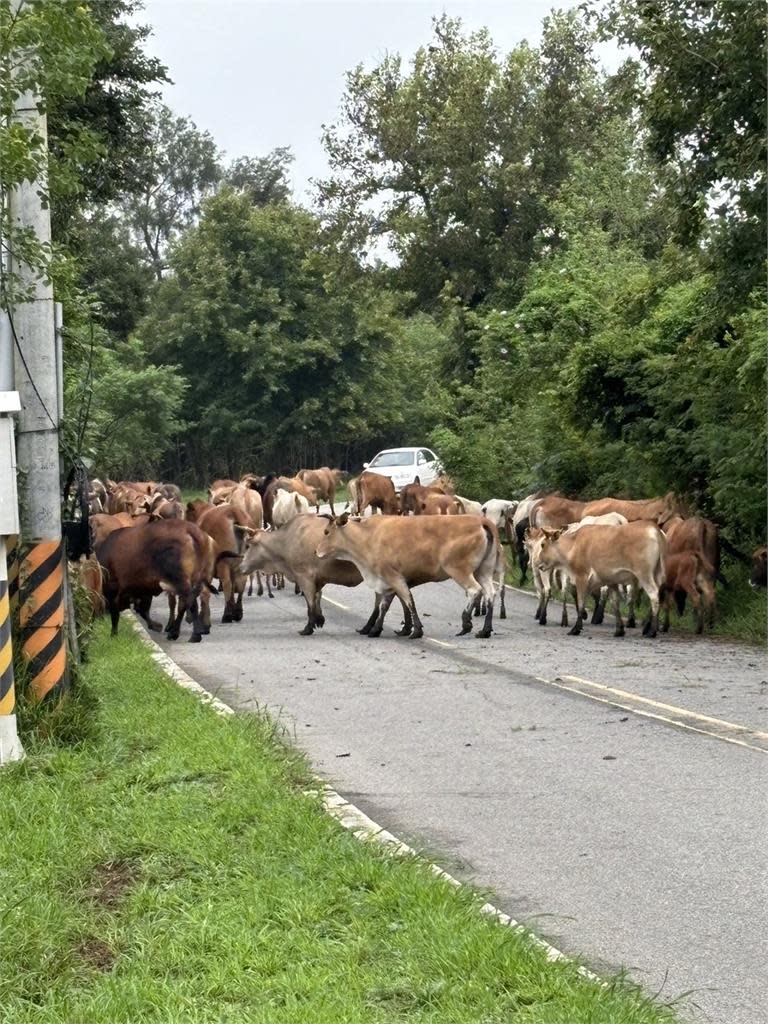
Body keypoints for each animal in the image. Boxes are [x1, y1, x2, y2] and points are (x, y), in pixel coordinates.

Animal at [315, 512, 501, 638]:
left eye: (326, 532)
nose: (316, 551)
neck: (368, 536)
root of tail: (481, 520)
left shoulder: (393, 576)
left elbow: (408, 600)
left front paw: (416, 630)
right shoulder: (387, 582)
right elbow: (385, 606)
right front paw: (376, 629)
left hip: (458, 570)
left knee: (475, 591)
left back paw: (466, 623)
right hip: (483, 571)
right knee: (490, 593)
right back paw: (485, 630)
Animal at [536, 524, 667, 634]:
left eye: (543, 544)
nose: (538, 564)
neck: (573, 545)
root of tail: (654, 528)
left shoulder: (581, 577)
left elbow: (581, 602)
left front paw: (576, 628)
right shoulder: (611, 581)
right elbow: (615, 603)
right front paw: (619, 630)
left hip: (644, 575)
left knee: (654, 596)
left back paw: (652, 631)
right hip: (658, 574)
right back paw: (647, 627)